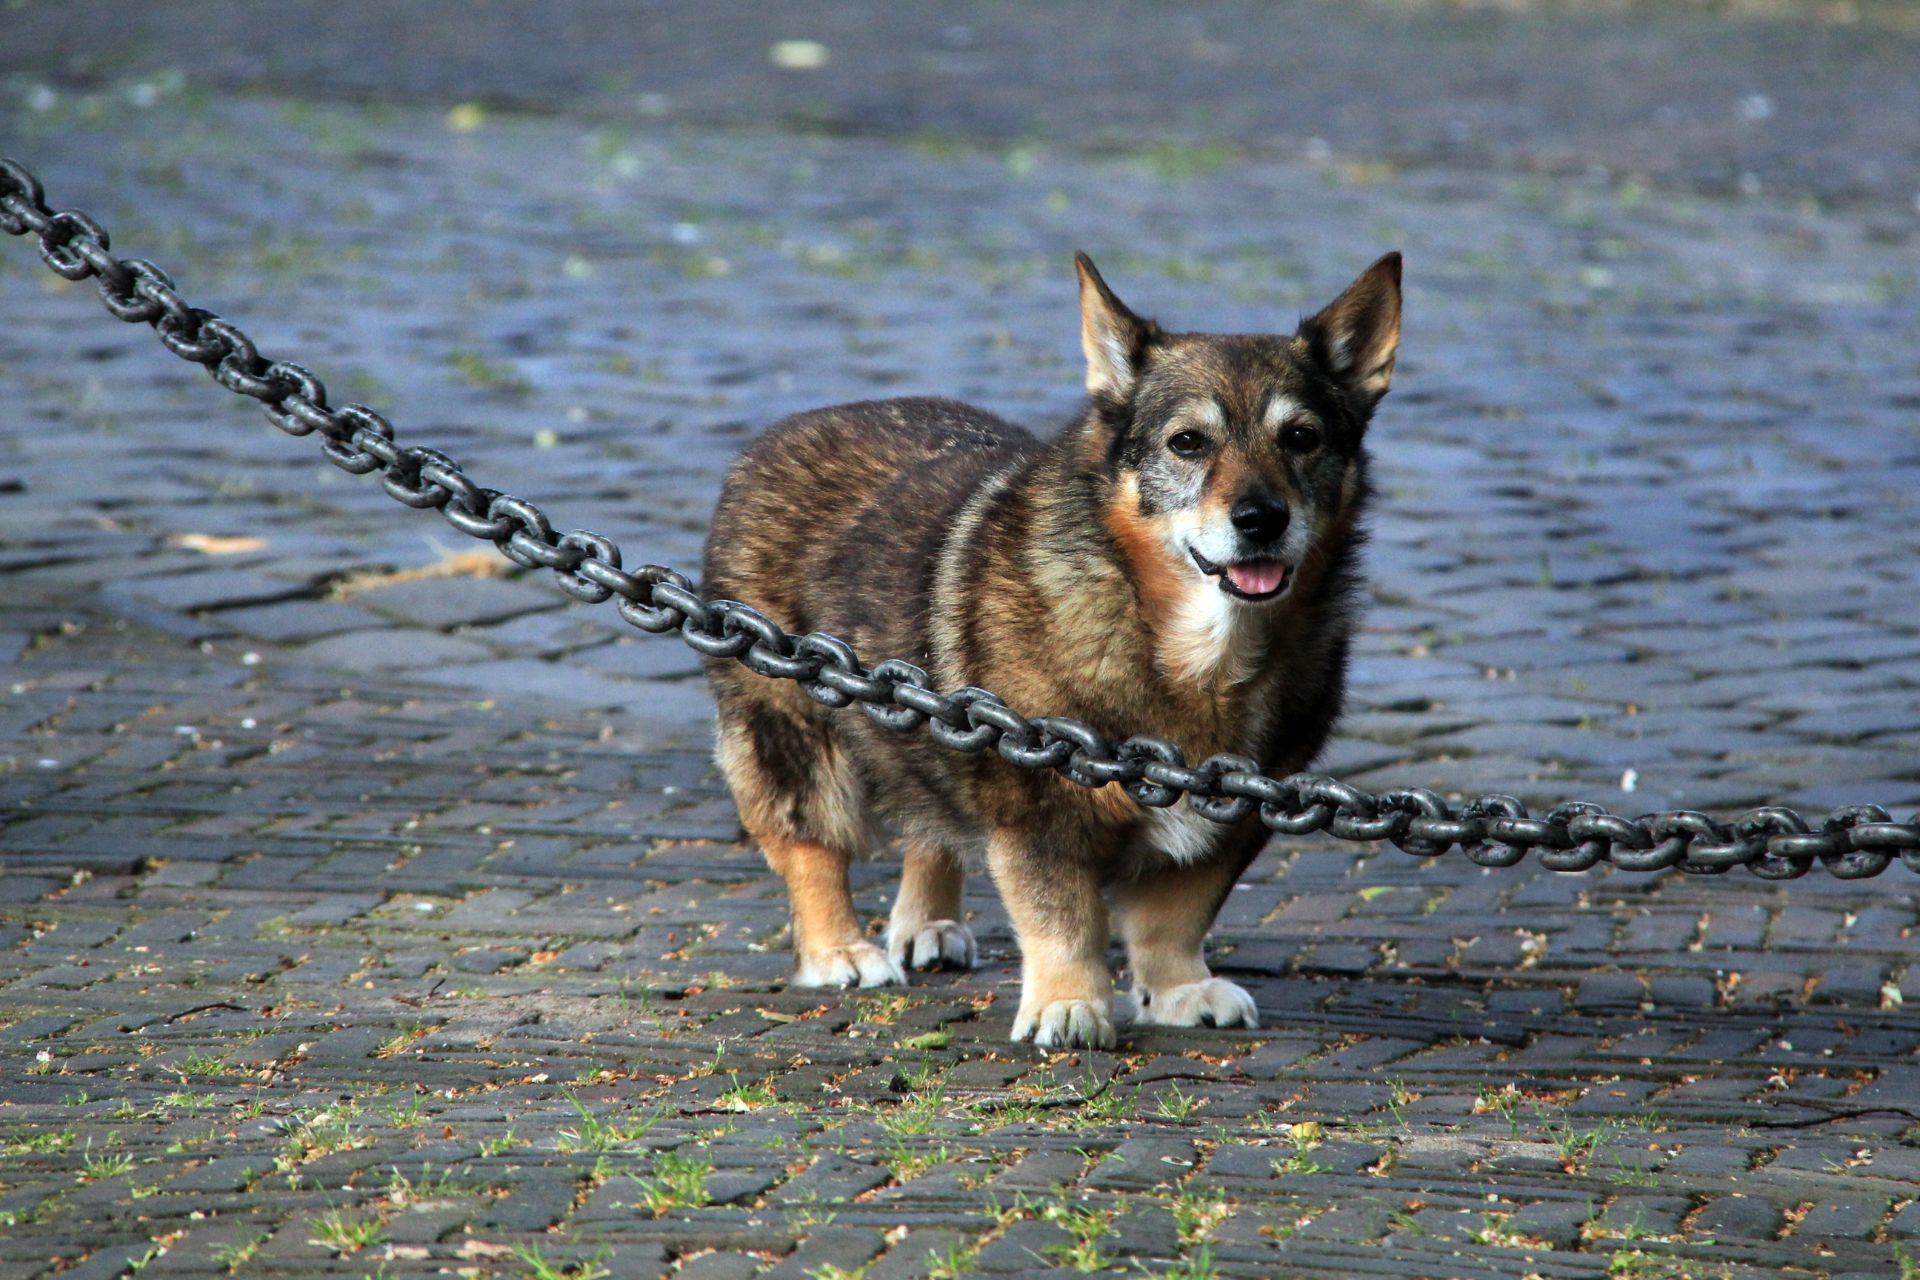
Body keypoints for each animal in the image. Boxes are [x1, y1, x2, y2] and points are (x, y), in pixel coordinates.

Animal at [702, 253, 1397, 1051]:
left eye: (1302, 438)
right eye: (1188, 442)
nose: (1261, 520)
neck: (1181, 643)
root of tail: (795, 427)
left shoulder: (1241, 805)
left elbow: (1176, 916)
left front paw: (1178, 990)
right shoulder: (1037, 804)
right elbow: (1063, 917)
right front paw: (1069, 1003)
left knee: (932, 822)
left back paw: (928, 922)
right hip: (793, 734)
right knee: (811, 845)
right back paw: (838, 950)